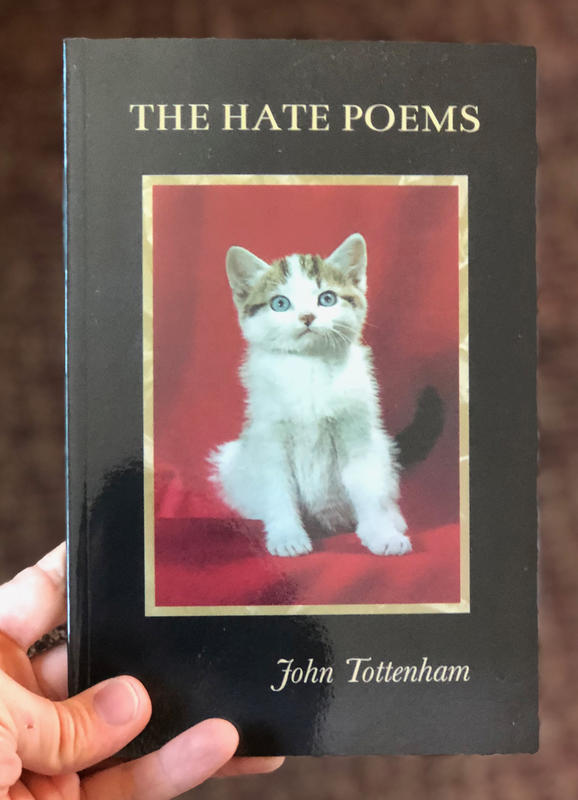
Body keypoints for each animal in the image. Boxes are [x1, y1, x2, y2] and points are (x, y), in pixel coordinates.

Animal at [210, 231, 424, 556]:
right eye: (280, 303)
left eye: (327, 298)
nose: (307, 316)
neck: (309, 367)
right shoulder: (268, 436)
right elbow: (276, 487)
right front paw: (286, 536)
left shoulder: (356, 430)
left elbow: (366, 484)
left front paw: (381, 533)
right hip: (232, 459)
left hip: (381, 447)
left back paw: (392, 518)